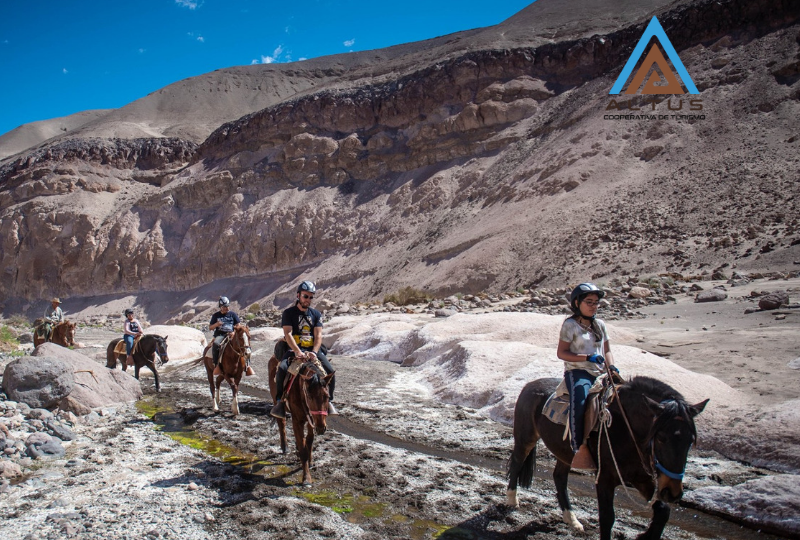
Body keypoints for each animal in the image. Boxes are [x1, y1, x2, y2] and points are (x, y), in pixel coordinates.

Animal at [268, 350, 332, 486]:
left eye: (327, 396)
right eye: (309, 396)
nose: (321, 427)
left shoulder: (312, 420)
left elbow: (309, 440)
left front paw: (310, 461)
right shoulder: (297, 420)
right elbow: (303, 449)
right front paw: (306, 478)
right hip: (276, 401)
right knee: (281, 422)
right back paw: (285, 447)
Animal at [510, 376, 708, 540]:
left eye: (691, 440)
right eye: (661, 437)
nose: (673, 492)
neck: (626, 429)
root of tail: (529, 385)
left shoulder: (643, 479)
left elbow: (663, 511)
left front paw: (646, 535)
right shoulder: (605, 478)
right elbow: (607, 518)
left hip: (564, 453)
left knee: (559, 477)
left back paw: (572, 519)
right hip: (526, 438)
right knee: (517, 464)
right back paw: (512, 500)